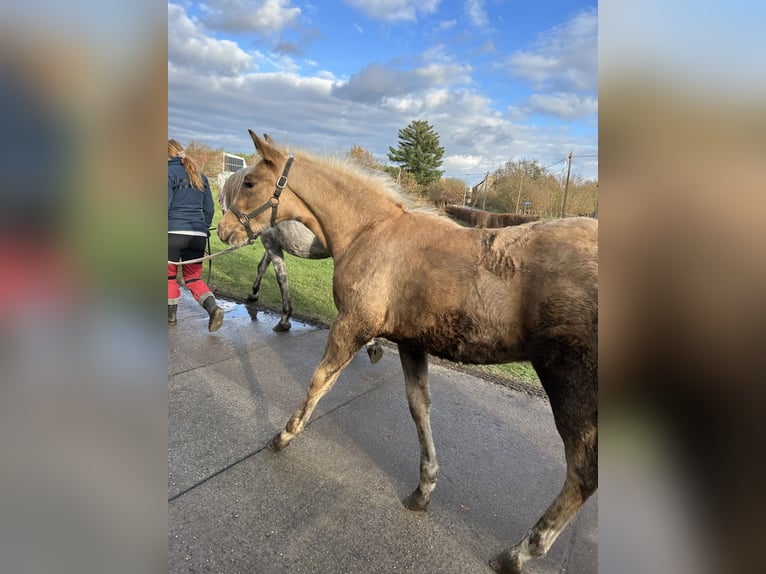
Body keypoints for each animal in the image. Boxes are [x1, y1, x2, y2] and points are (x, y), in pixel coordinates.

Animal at [218, 132, 600, 574]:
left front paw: (283, 435)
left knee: (583, 472)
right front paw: (423, 489)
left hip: (568, 379)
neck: (368, 231)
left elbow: (319, 381)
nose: (223, 230)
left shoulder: (351, 325)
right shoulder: (411, 343)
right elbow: (419, 407)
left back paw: (518, 552)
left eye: (249, 183)